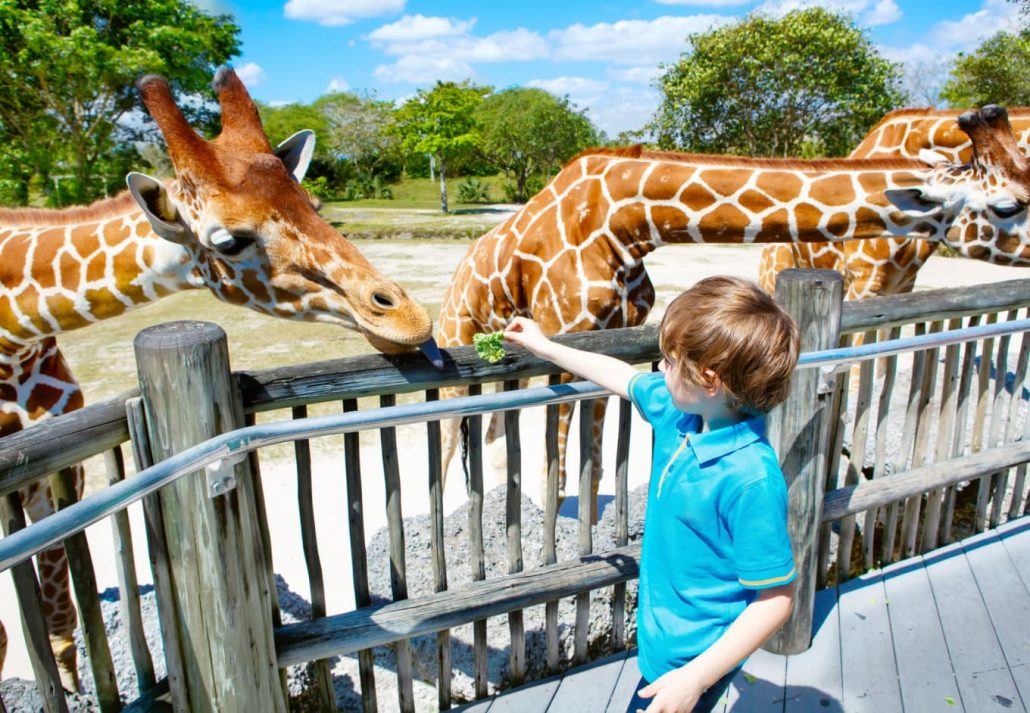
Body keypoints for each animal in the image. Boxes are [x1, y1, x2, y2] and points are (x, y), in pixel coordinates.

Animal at [0, 69, 438, 688]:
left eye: (313, 202)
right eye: (227, 240)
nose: (409, 319)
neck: (16, 329)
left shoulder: (56, 474)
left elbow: (57, 611)